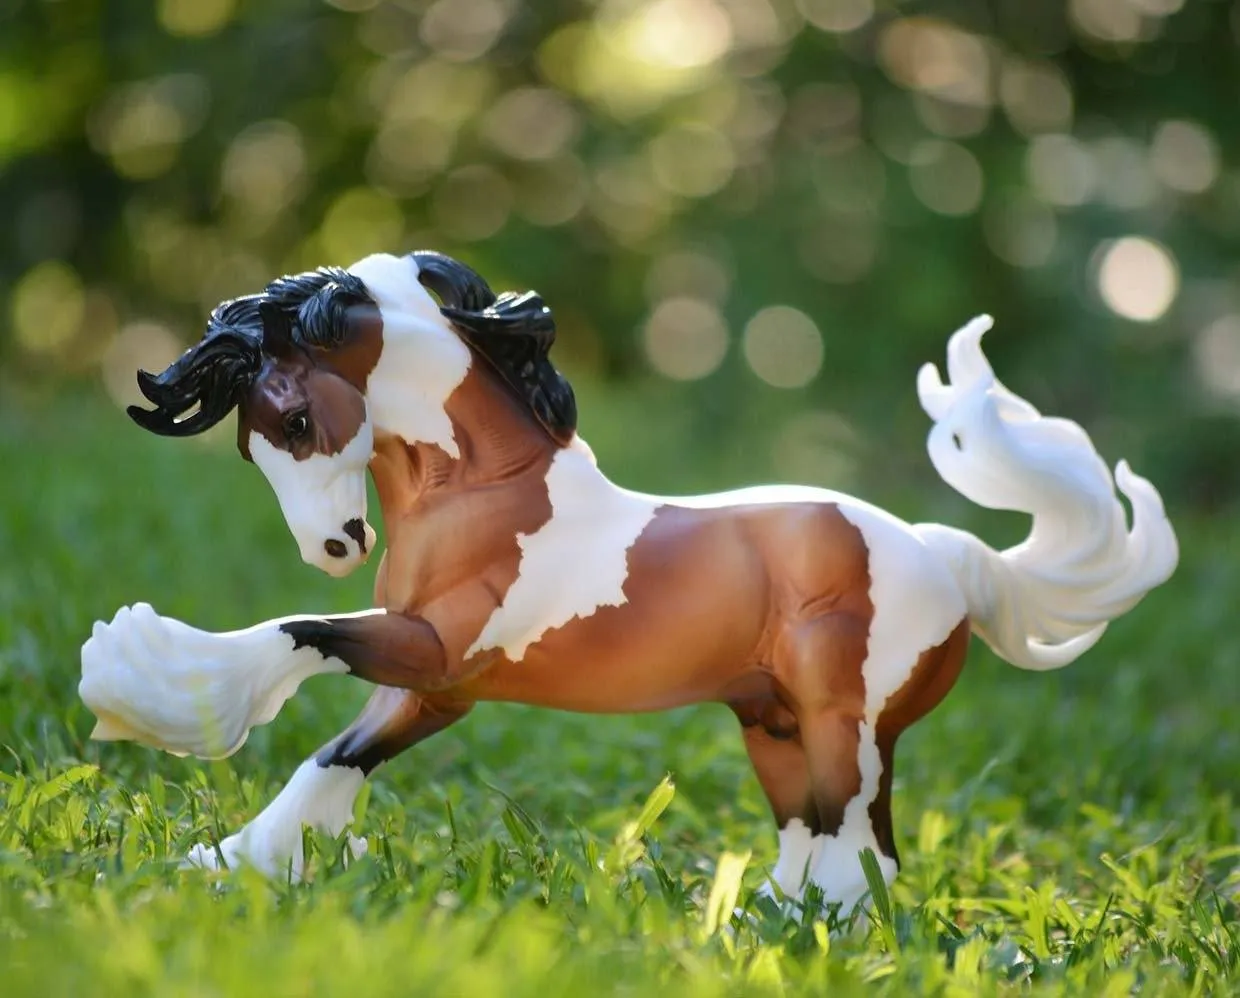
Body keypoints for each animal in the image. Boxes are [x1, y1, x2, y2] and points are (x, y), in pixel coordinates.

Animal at [79, 249, 1180, 912]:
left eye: (298, 418)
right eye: (251, 444)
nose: (336, 544)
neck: (491, 496)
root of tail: (945, 553)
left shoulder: (437, 651)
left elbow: (298, 632)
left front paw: (146, 682)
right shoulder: (437, 685)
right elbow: (334, 755)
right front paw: (225, 864)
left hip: (850, 718)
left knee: (858, 828)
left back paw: (818, 927)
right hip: (771, 721)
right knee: (817, 823)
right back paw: (767, 924)